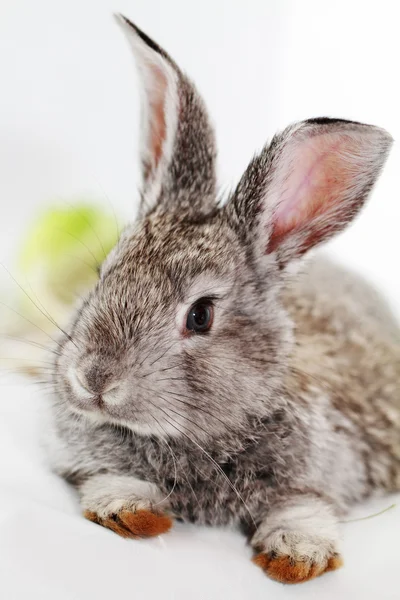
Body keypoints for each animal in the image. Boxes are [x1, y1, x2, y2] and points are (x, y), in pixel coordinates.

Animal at [46, 15, 396, 584]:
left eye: (201, 315)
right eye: (103, 273)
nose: (94, 379)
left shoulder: (330, 469)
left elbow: (305, 508)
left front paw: (295, 557)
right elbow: (107, 479)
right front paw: (130, 510)